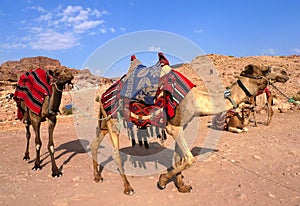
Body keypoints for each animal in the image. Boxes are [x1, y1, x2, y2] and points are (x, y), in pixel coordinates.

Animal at [90, 56, 290, 195]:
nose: (285, 73)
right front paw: (162, 181)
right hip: (113, 120)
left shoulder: (182, 126)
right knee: (116, 153)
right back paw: (128, 187)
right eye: (265, 69)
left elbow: (179, 158)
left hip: (104, 120)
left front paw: (182, 186)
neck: (196, 100)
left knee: (94, 143)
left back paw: (97, 176)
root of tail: (104, 93)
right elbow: (190, 158)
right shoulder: (173, 128)